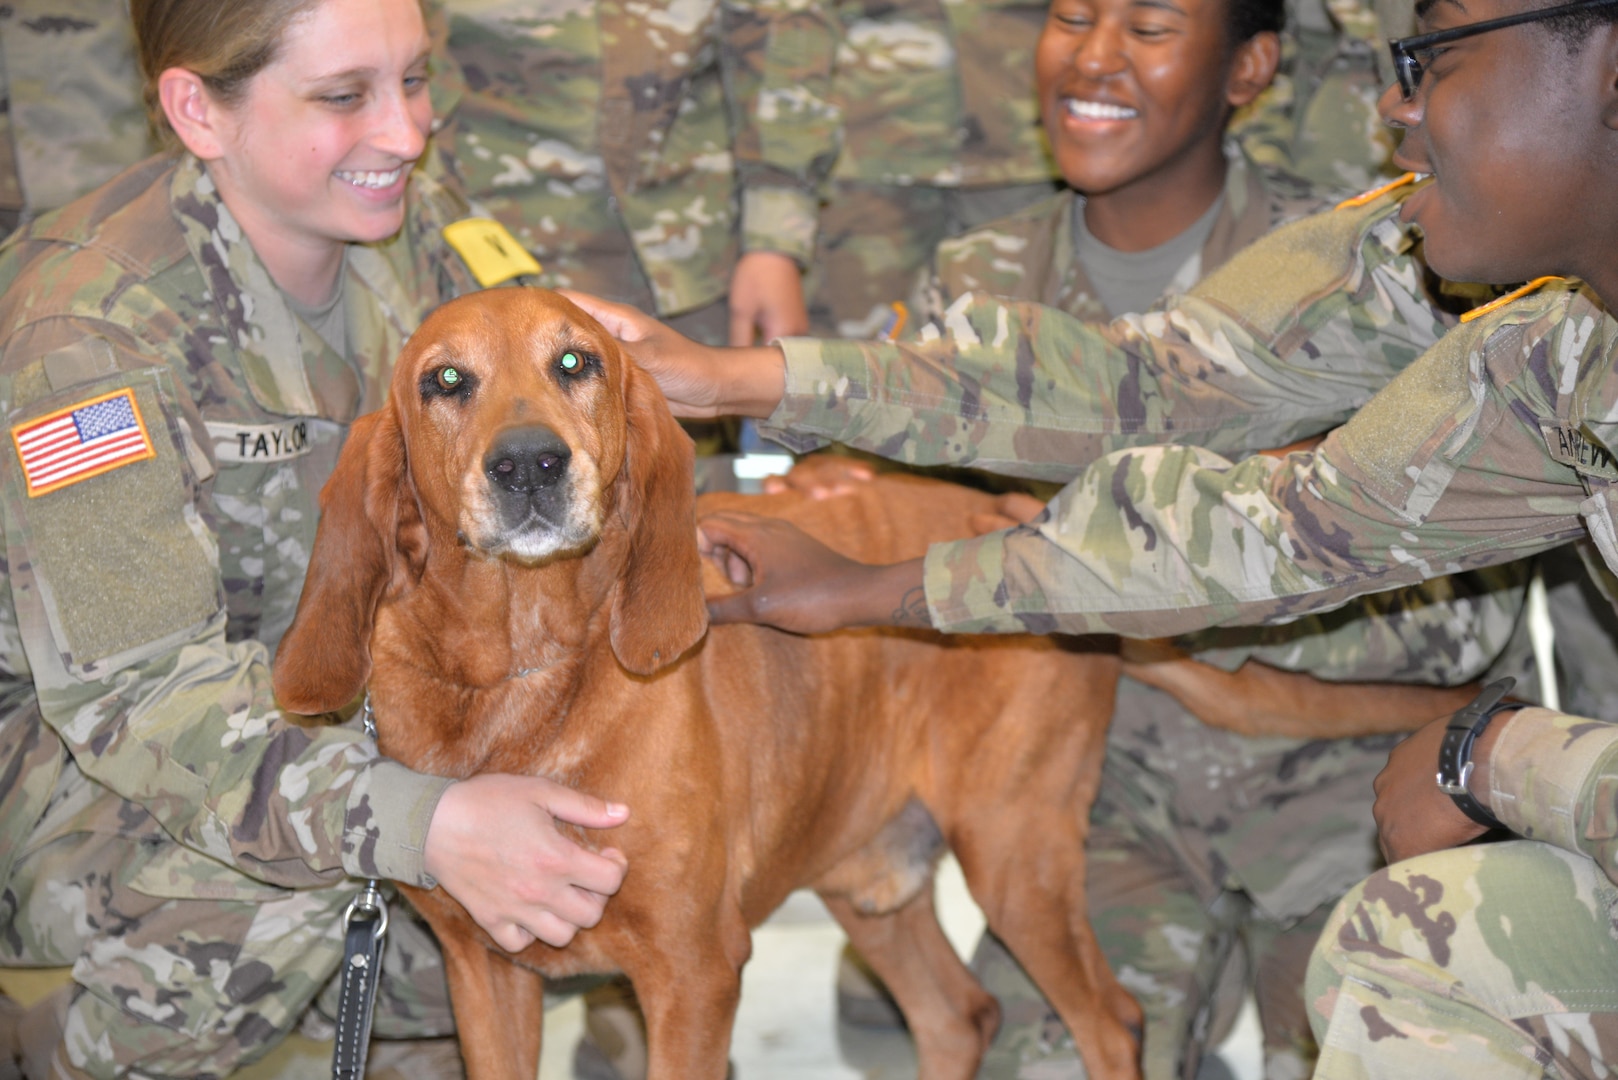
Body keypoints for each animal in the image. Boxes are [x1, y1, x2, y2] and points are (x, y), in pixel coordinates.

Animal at [275, 286, 1139, 1080]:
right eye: (446, 379)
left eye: (575, 362)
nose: (529, 464)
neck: (522, 673)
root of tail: (1014, 516)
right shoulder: (484, 973)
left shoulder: (694, 976)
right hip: (865, 868)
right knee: (957, 1015)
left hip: (1015, 859)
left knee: (1111, 1021)